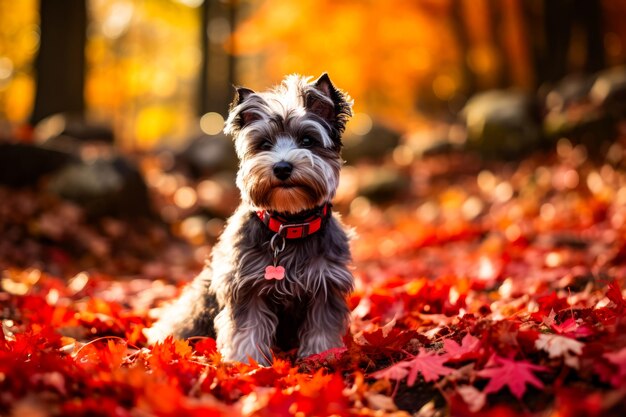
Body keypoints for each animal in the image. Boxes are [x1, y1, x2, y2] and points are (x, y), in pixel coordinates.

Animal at [144, 74, 354, 364]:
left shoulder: (325, 285)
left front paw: (322, 356)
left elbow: (322, 327)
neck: (289, 225)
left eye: (307, 140)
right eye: (264, 144)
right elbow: (247, 329)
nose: (282, 167)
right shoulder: (246, 286)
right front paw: (246, 363)